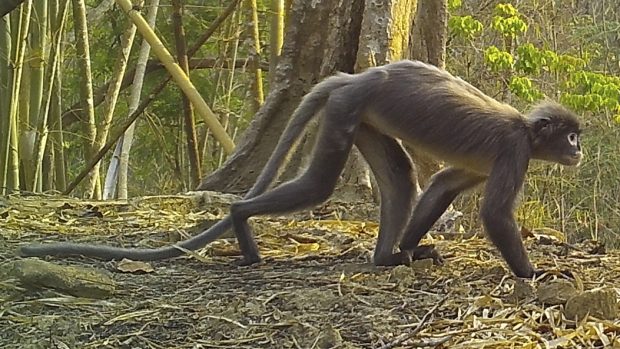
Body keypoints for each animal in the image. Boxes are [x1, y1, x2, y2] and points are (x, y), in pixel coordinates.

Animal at [19, 59, 580, 278]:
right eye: (571, 135)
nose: (579, 151)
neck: (528, 130)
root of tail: (356, 76)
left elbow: (443, 184)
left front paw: (411, 250)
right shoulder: (514, 150)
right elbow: (493, 215)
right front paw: (537, 273)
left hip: (359, 114)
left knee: (400, 177)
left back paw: (386, 258)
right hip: (349, 108)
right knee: (319, 184)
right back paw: (241, 220)